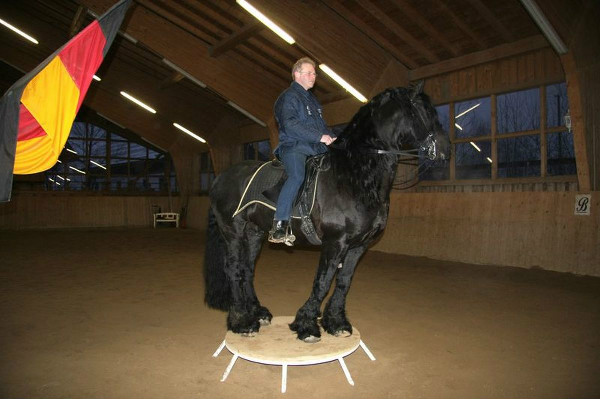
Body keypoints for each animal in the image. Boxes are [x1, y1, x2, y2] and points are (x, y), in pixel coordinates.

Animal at [204, 82, 448, 344]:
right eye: (424, 111)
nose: (445, 150)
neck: (354, 175)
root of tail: (220, 178)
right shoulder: (335, 242)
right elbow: (322, 281)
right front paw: (307, 325)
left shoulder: (358, 245)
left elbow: (343, 281)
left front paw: (337, 322)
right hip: (233, 232)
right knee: (234, 270)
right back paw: (242, 322)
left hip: (254, 234)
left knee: (247, 270)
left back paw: (257, 313)